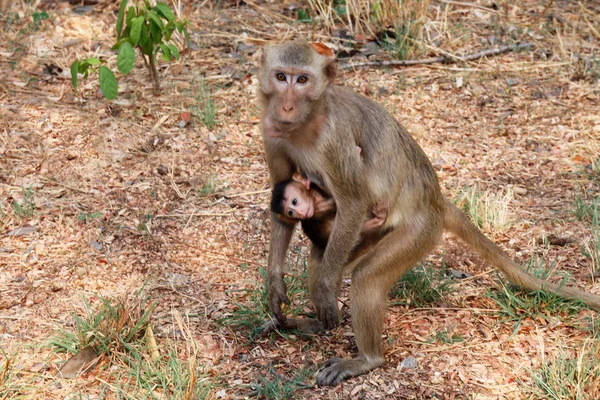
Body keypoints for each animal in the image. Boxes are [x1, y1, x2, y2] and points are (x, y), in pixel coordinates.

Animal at [258, 39, 600, 384]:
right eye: (281, 77)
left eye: (302, 80)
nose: (286, 107)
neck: (305, 124)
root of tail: (435, 198)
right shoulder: (271, 130)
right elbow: (281, 208)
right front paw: (275, 283)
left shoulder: (334, 138)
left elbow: (353, 202)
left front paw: (327, 290)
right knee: (321, 259)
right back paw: (314, 323)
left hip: (419, 232)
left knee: (366, 276)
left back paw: (366, 359)